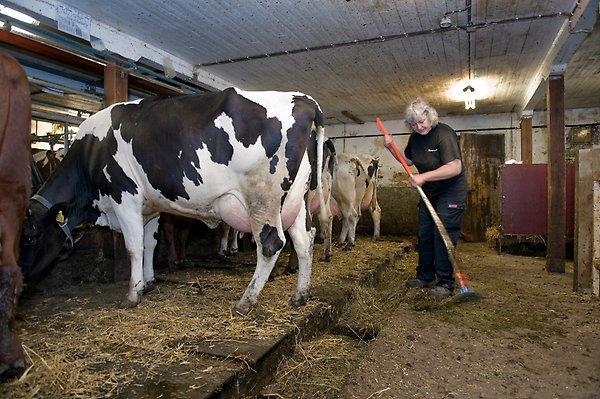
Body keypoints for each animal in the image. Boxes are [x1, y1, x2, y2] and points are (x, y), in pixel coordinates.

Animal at [19, 88, 324, 316]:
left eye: (30, 238)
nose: (21, 282)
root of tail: (304, 99)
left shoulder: (124, 197)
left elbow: (133, 248)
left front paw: (132, 294)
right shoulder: (150, 208)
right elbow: (149, 244)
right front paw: (149, 282)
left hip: (263, 197)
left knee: (271, 244)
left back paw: (245, 302)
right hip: (295, 199)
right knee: (304, 239)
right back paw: (300, 295)